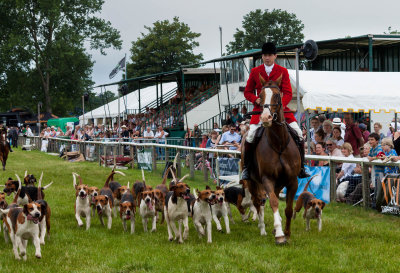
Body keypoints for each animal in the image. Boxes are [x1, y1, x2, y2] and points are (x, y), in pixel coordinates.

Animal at [241, 73, 300, 243]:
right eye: (260, 96)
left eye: (277, 95)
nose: (266, 118)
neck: (278, 143)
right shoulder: (267, 179)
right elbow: (273, 202)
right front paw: (279, 234)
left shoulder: (292, 180)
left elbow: (288, 208)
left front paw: (287, 233)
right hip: (252, 181)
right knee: (257, 201)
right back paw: (262, 229)